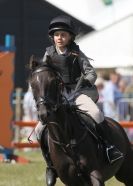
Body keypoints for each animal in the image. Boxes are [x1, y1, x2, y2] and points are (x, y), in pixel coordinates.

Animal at [28, 56, 133, 186]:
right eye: (32, 85)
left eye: (53, 82)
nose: (44, 114)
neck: (65, 140)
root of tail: (116, 124)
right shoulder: (71, 180)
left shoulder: (95, 174)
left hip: (126, 173)